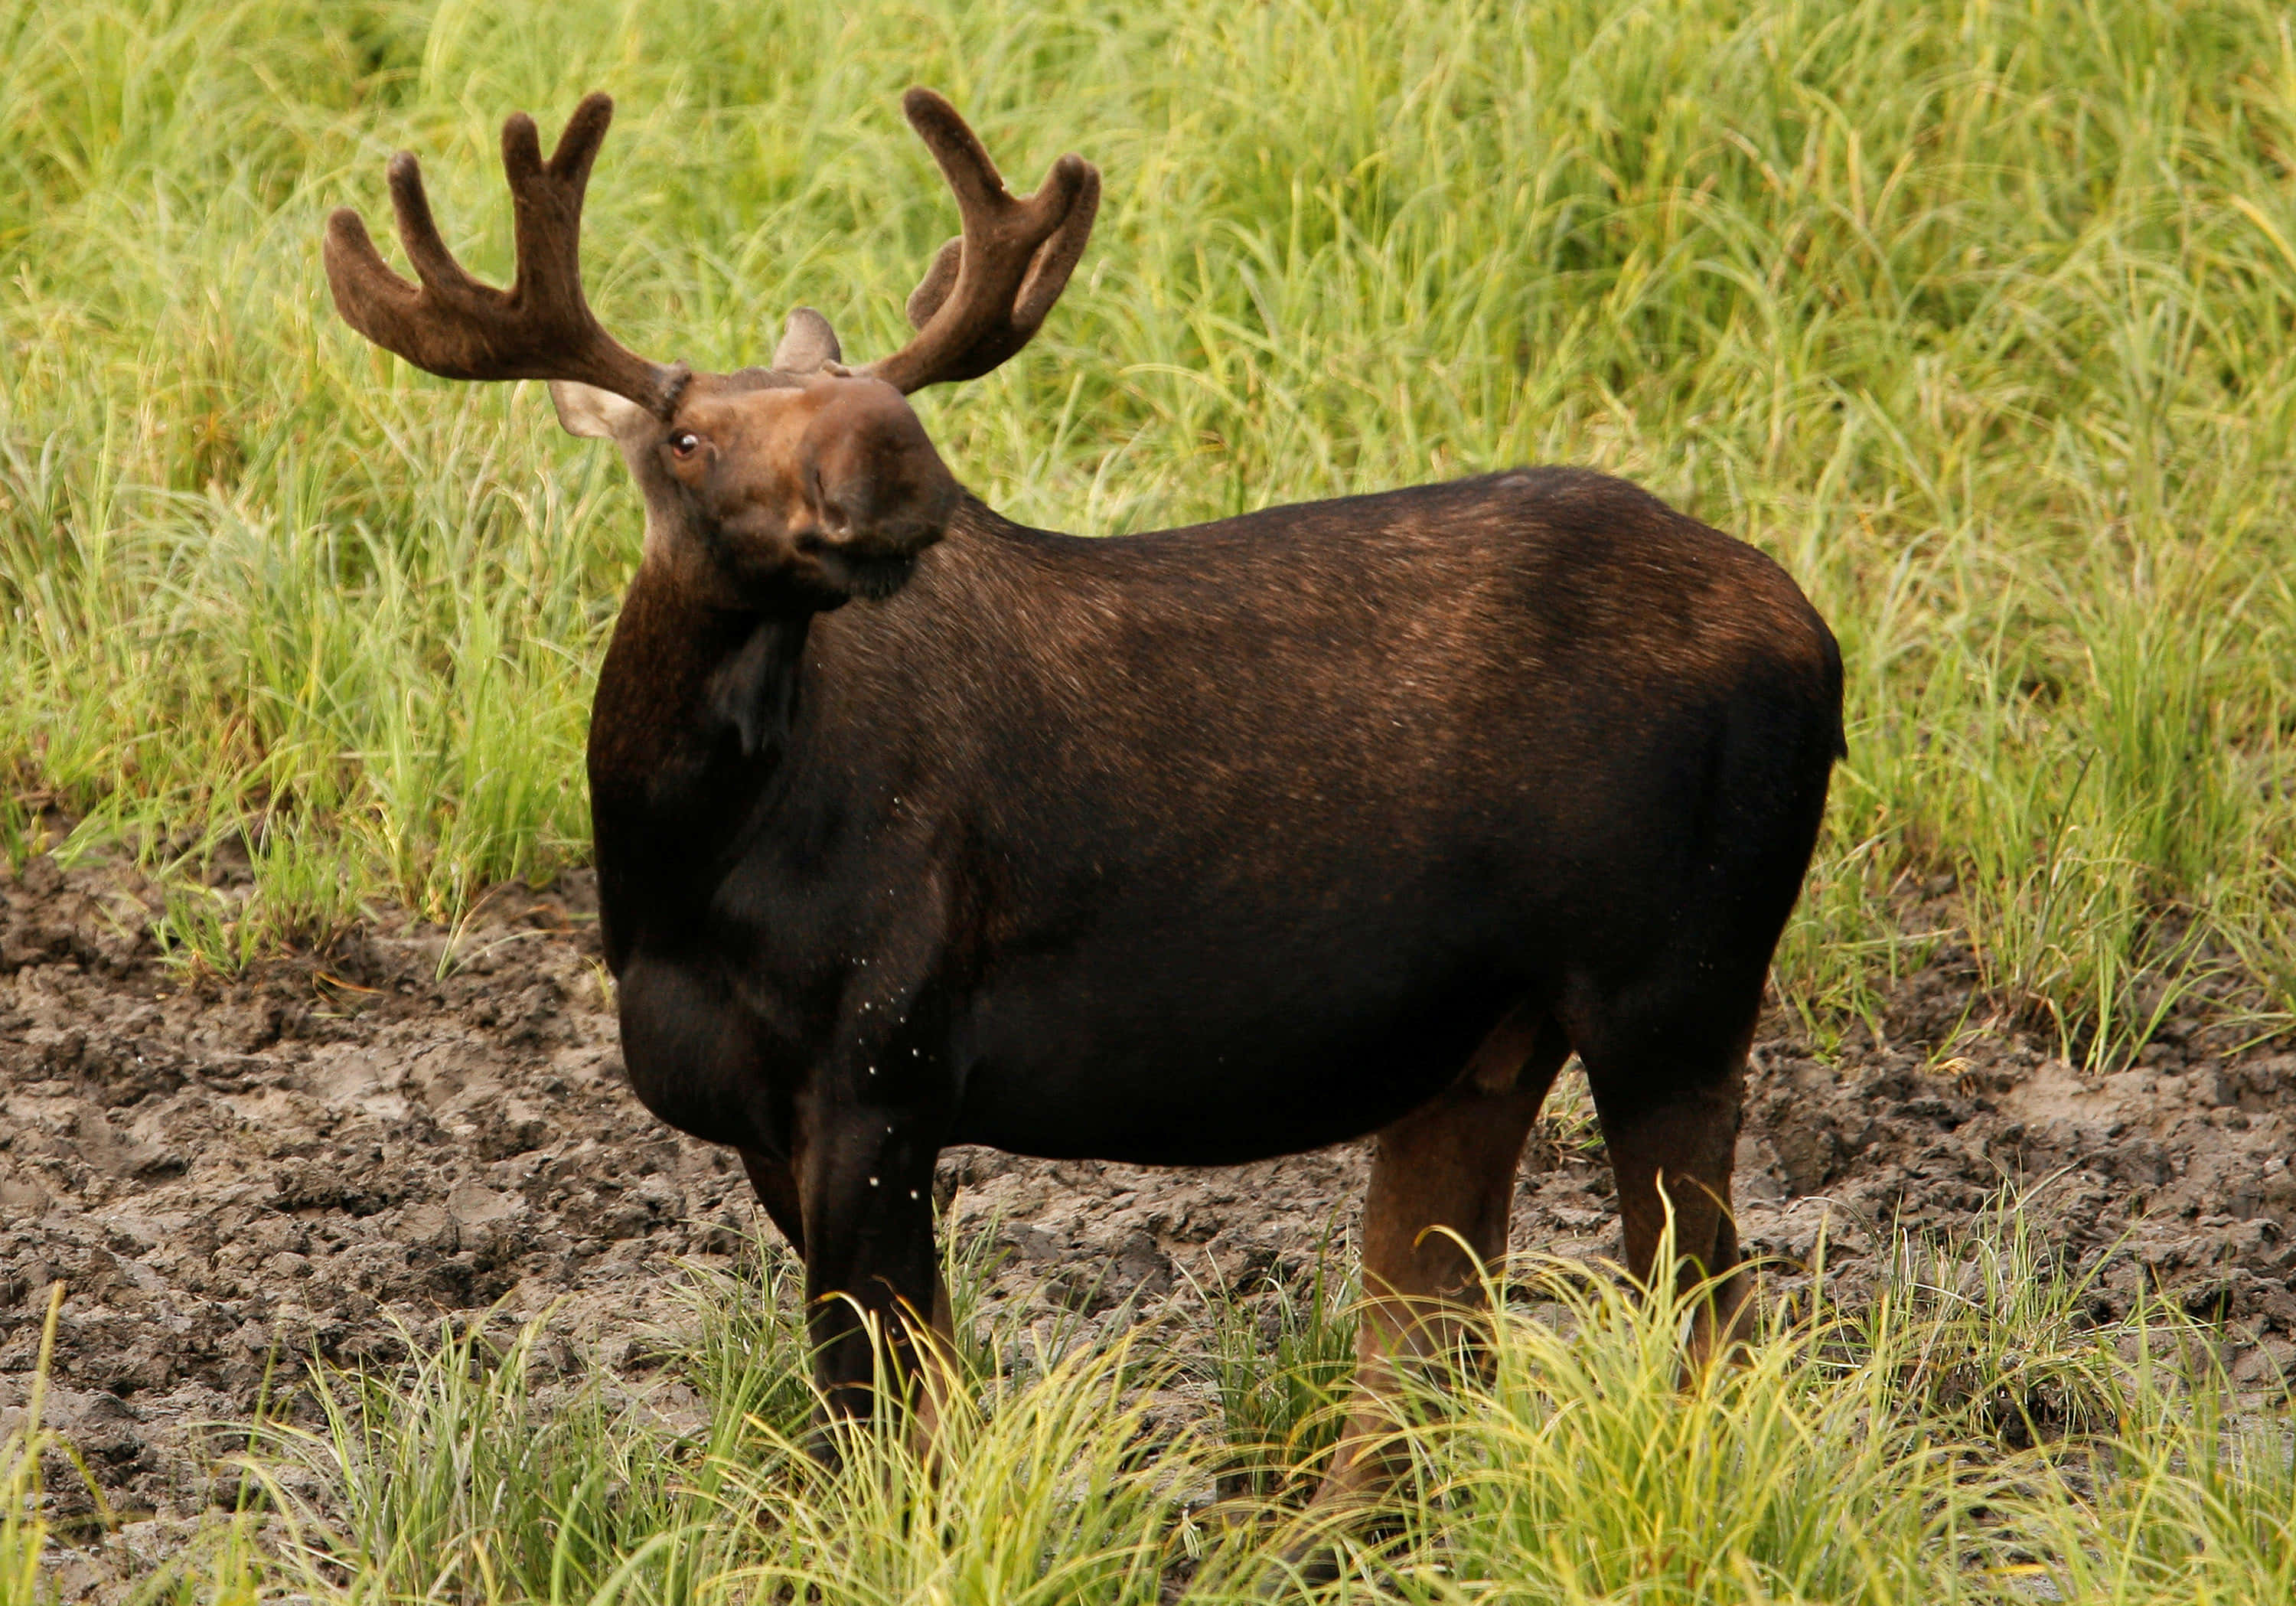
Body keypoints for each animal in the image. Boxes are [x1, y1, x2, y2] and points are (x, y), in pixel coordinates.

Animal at [323, 88, 1844, 1535]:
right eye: (688, 437)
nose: (894, 452)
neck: (677, 875)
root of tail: (1822, 644)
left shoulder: (882, 1067)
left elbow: (880, 1415)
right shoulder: (770, 1116)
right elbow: (920, 1400)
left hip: (1676, 988)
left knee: (1705, 1321)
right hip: (1483, 1038)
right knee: (1428, 1347)